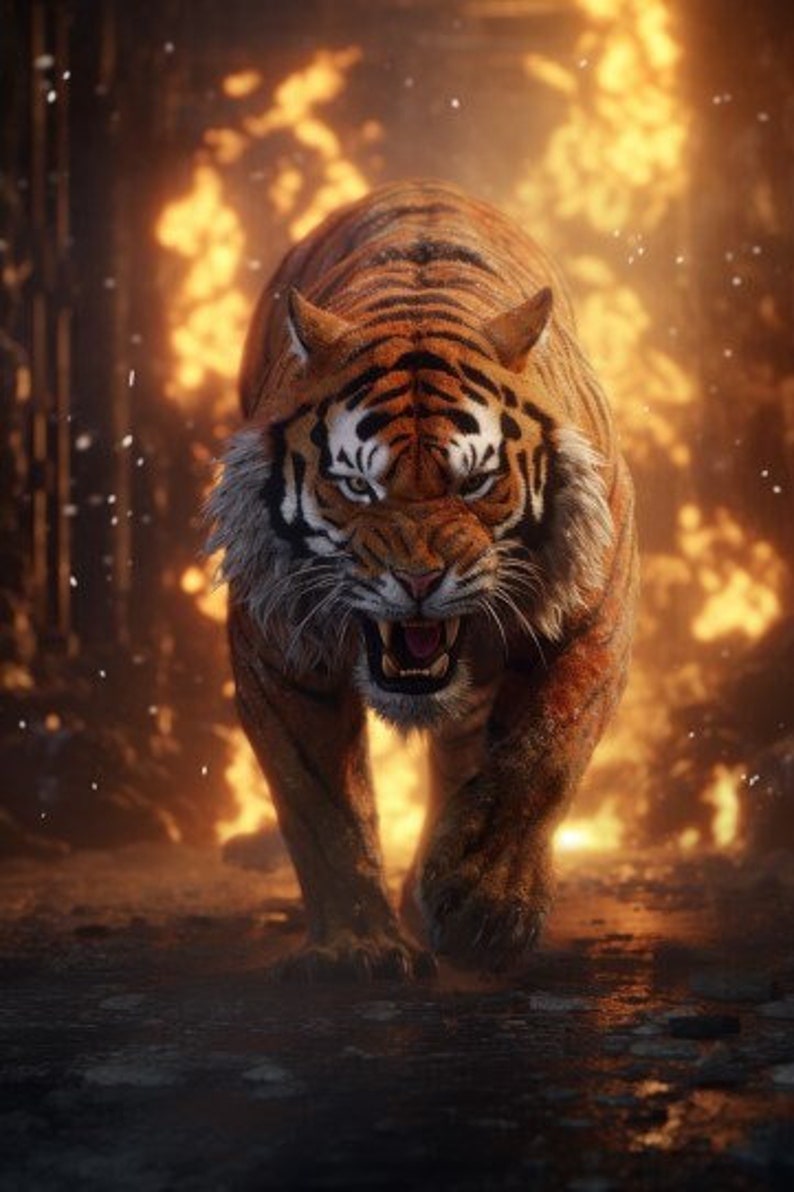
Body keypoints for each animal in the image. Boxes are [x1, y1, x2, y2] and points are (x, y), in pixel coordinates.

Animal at [208, 179, 638, 980]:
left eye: (476, 483)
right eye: (357, 484)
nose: (417, 580)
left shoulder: (592, 619)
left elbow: (543, 755)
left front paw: (483, 904)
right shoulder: (279, 652)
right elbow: (322, 804)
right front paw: (357, 945)